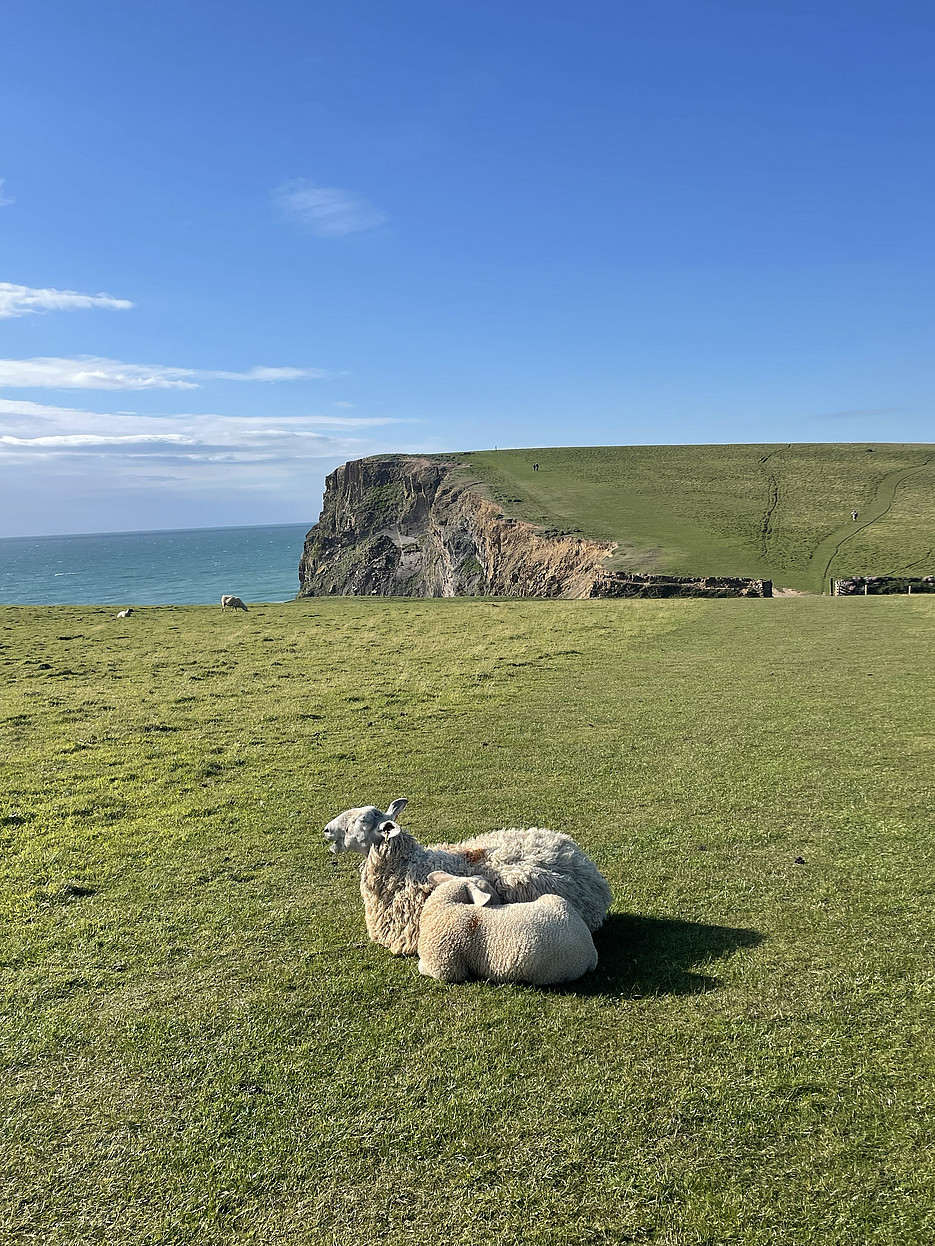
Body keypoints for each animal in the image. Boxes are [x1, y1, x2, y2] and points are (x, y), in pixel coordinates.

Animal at [417, 870, 598, 985]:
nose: (501, 900)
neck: (446, 905)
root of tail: (591, 951)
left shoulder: (445, 967)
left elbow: (421, 967)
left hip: (552, 973)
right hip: (554, 900)